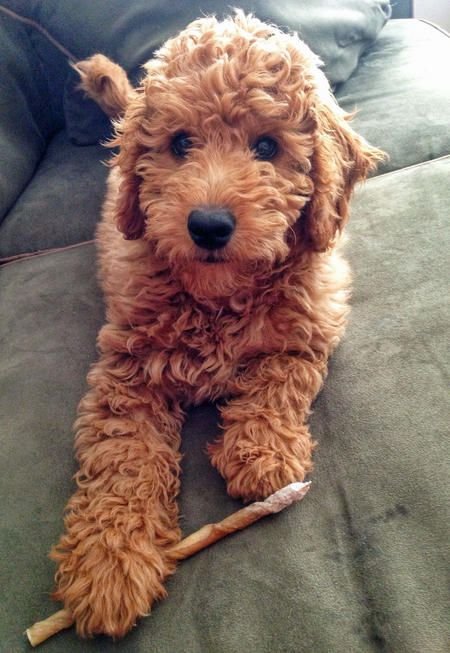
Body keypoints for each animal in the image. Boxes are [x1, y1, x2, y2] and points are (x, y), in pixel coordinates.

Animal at [50, 11, 384, 636]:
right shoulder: (126, 371)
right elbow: (122, 458)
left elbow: (281, 376)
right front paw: (110, 564)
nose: (207, 225)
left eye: (267, 146)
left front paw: (262, 454)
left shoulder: (313, 319)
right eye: (181, 143)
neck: (219, 298)